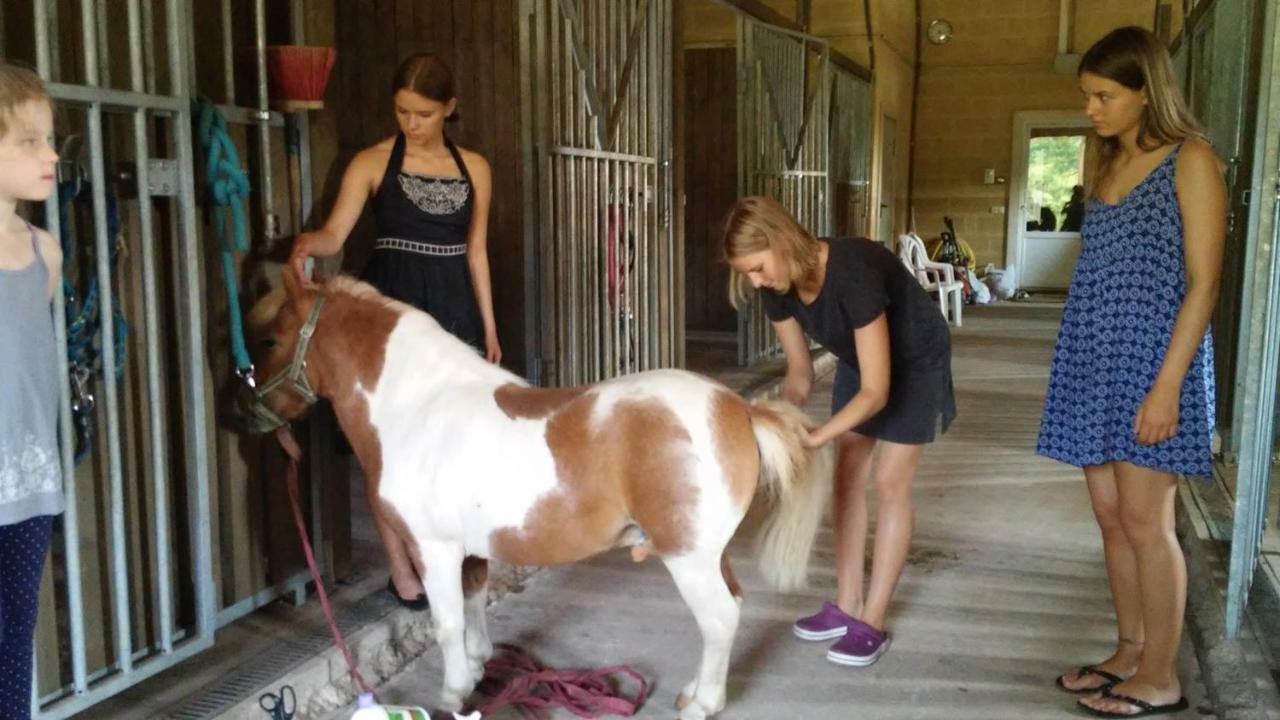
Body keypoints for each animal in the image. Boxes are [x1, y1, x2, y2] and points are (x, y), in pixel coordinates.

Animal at [245, 271, 834, 712]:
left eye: (270, 339)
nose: (242, 411)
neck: (418, 406)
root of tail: (738, 408)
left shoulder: (435, 549)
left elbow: (446, 622)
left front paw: (453, 693)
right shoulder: (471, 551)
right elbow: (474, 605)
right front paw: (478, 670)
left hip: (688, 557)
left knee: (720, 619)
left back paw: (702, 704)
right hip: (710, 553)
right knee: (731, 607)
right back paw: (694, 691)